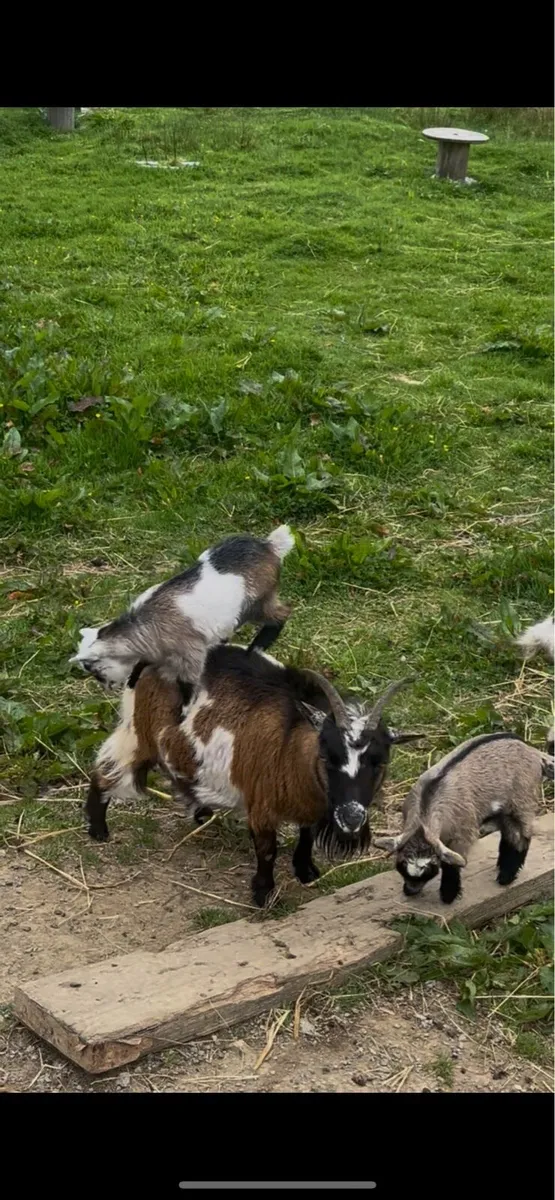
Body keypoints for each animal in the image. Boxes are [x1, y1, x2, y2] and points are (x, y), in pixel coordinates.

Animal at [71, 525, 295, 691]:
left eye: (94, 670)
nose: (108, 688)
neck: (144, 622)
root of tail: (269, 545)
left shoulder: (190, 650)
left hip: (257, 603)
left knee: (281, 614)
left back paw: (256, 647)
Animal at [84, 644, 417, 906]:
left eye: (380, 762)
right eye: (326, 756)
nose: (351, 818)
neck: (290, 740)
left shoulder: (307, 803)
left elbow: (306, 835)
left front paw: (306, 871)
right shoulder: (262, 802)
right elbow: (267, 850)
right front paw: (263, 895)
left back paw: (200, 812)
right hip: (139, 733)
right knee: (106, 767)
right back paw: (98, 829)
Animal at [374, 732, 554, 904]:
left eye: (431, 870)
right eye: (401, 866)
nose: (411, 890)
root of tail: (534, 752)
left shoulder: (463, 831)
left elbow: (453, 863)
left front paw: (448, 895)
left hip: (522, 798)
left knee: (520, 835)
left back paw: (506, 876)